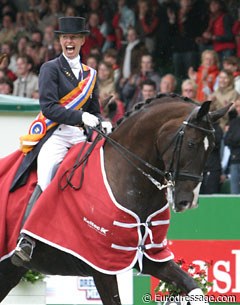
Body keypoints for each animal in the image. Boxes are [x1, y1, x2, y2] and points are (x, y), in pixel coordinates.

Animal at [0, 94, 232, 302]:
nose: (188, 201)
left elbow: (193, 286)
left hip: (10, 270)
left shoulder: (151, 257)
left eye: (213, 147)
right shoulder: (102, 265)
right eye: (191, 144)